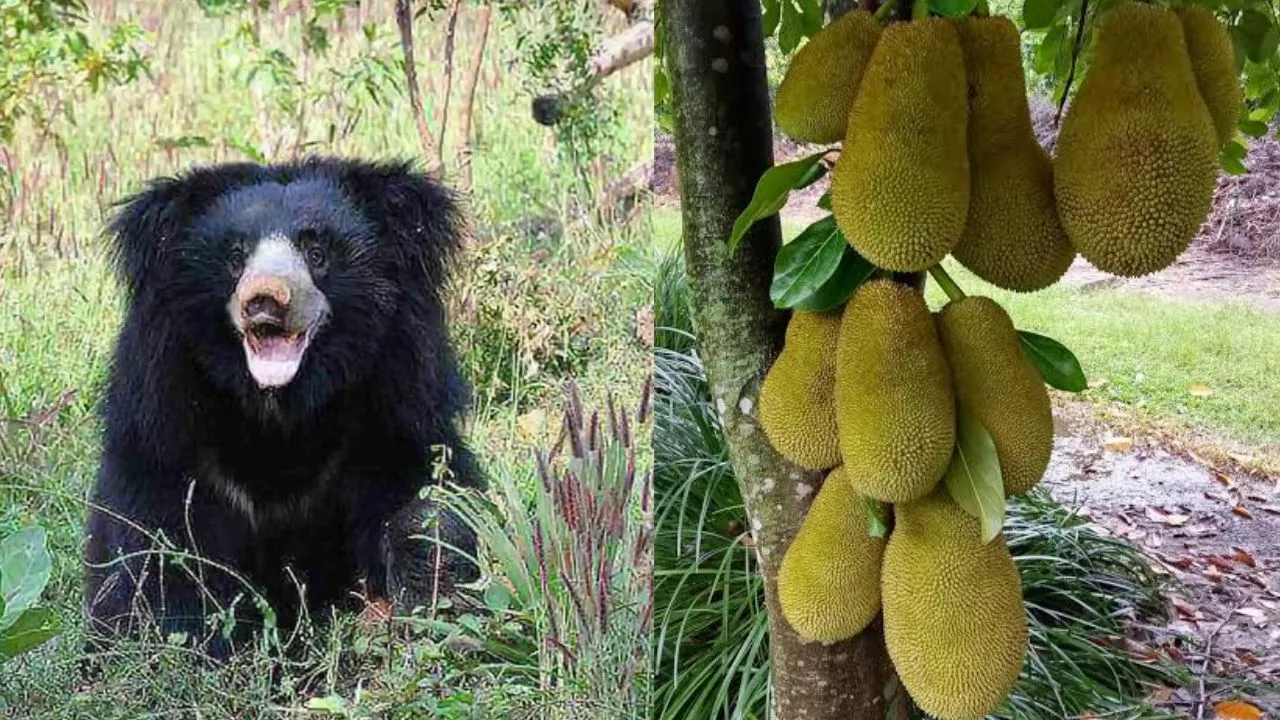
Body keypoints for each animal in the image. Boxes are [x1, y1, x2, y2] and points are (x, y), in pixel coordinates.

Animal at [82, 157, 484, 660]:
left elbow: (428, 495)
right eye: (236, 256)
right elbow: (157, 555)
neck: (280, 413)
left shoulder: (394, 410)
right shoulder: (163, 431)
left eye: (317, 252)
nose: (265, 299)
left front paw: (423, 580)